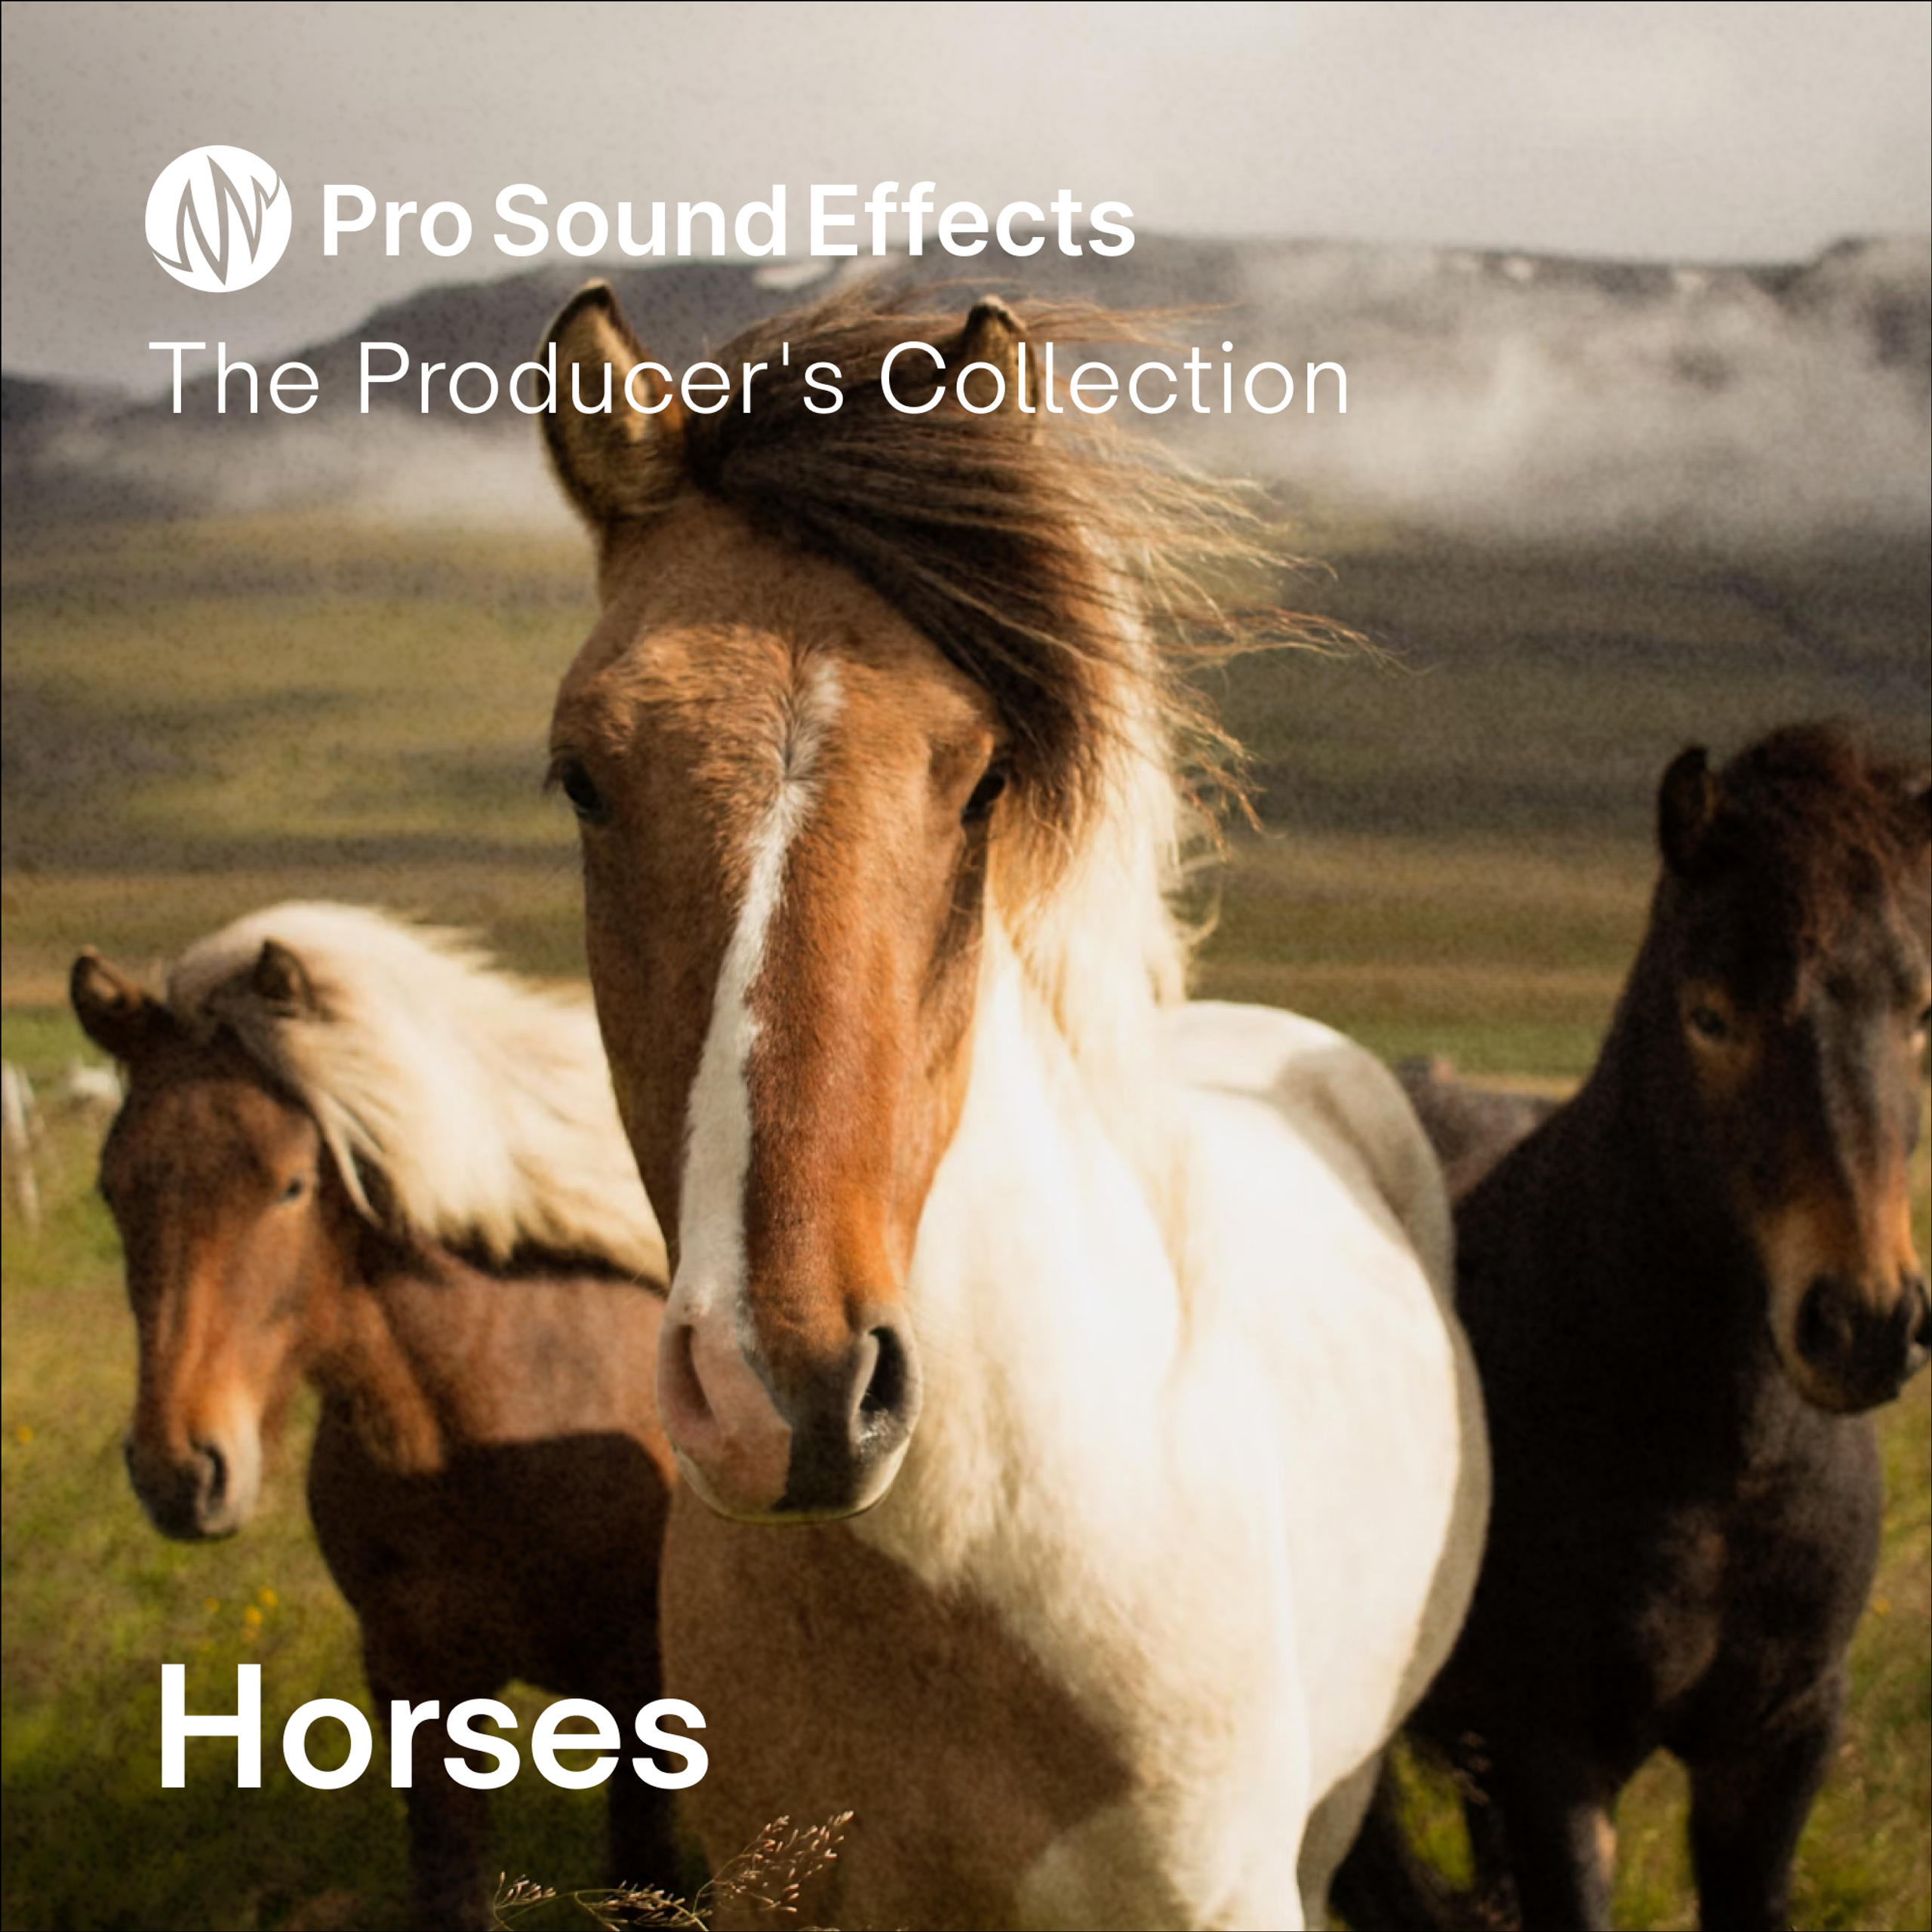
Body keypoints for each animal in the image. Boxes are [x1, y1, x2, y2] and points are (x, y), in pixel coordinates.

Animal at [71, 903, 683, 1932]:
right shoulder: (417, 1692)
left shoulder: (642, 1697)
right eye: (114, 1187)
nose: (178, 1471)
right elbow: (448, 1886)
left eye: (290, 1184)